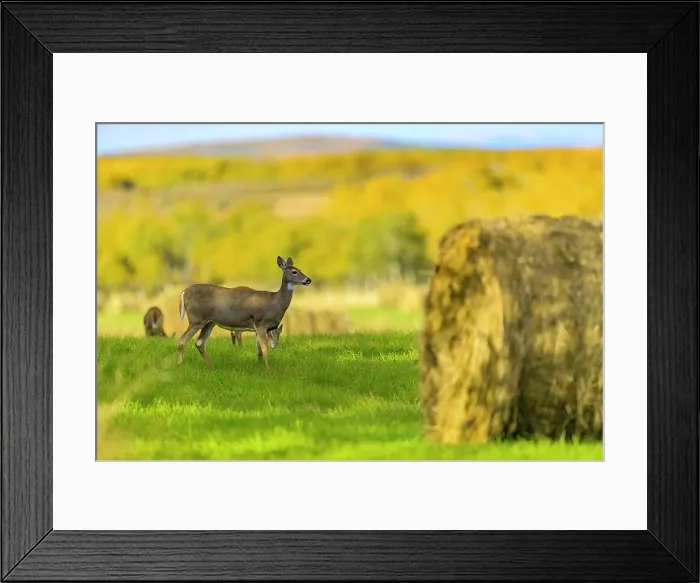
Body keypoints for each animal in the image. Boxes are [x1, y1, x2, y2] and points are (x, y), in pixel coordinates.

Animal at [177, 256, 311, 369]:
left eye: (300, 269)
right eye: (294, 271)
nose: (308, 279)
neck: (276, 302)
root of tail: (183, 292)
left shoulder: (260, 328)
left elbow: (259, 350)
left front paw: (260, 367)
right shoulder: (261, 322)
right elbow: (265, 349)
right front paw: (268, 370)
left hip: (209, 322)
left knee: (200, 343)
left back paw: (211, 366)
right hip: (196, 319)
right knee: (182, 339)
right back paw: (180, 364)